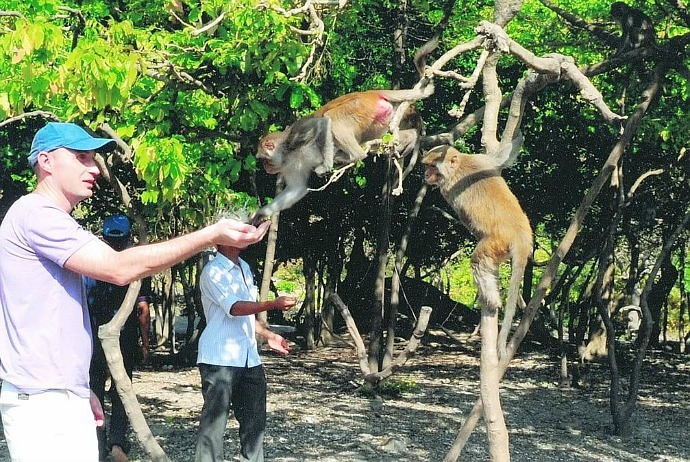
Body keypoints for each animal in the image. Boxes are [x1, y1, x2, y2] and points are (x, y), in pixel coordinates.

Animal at [422, 138, 532, 358]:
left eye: (432, 166)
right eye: (426, 165)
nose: (425, 175)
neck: (459, 165)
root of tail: (521, 236)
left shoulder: (447, 188)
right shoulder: (481, 160)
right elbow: (503, 157)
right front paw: (518, 136)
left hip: (497, 242)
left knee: (479, 261)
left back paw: (491, 299)